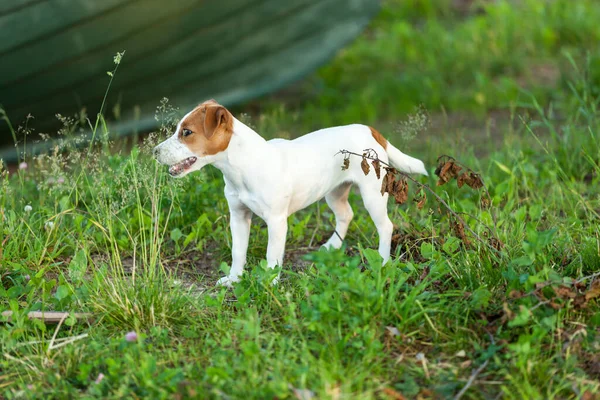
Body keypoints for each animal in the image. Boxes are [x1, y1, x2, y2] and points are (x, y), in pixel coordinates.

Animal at [155, 100, 426, 288]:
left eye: (187, 132)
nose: (155, 152)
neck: (242, 166)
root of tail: (370, 130)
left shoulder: (276, 222)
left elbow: (272, 256)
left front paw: (269, 283)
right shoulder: (238, 217)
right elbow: (238, 252)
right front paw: (234, 279)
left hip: (372, 196)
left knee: (385, 227)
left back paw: (382, 262)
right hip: (334, 192)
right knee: (346, 215)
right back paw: (332, 246)